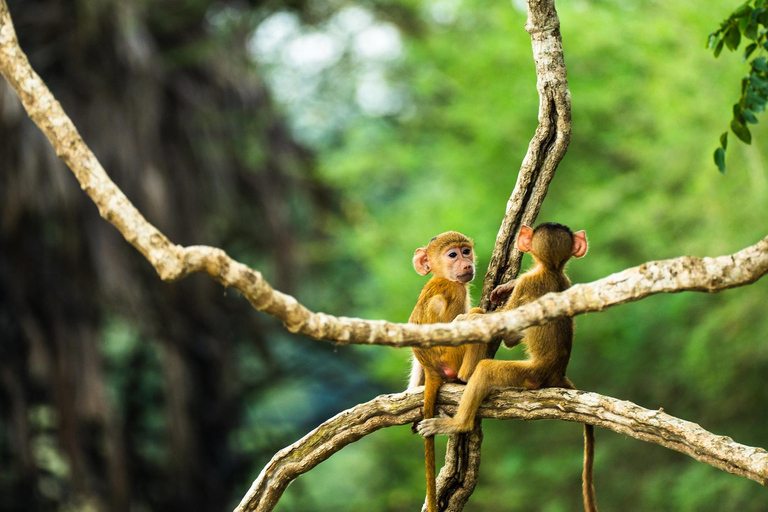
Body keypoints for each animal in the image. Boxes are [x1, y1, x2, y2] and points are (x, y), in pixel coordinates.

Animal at [408, 232, 486, 512]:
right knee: (477, 316)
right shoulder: (455, 291)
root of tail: (433, 369)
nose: (467, 264)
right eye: (453, 255)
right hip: (453, 358)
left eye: (466, 251)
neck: (440, 277)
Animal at [416, 222, 596, 512]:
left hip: (527, 374)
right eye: (454, 255)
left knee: (484, 369)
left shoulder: (526, 286)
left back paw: (460, 418)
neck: (551, 270)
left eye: (465, 252)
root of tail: (556, 373)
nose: (466, 263)